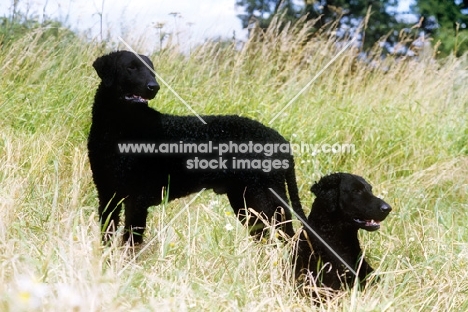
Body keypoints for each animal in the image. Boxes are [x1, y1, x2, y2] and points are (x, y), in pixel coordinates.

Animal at [88, 51, 308, 245]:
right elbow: (106, 236)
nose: (154, 87)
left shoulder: (137, 198)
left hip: (264, 198)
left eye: (152, 71)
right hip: (245, 201)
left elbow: (130, 242)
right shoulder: (107, 195)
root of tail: (281, 140)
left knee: (288, 237)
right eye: (131, 67)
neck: (119, 128)